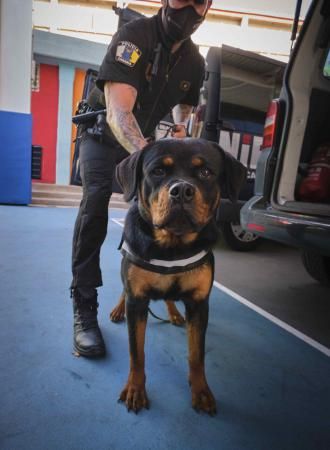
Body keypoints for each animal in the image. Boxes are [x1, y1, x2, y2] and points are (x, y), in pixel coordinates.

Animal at [113, 137, 245, 414]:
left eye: (205, 172)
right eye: (158, 171)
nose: (182, 190)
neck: (173, 246)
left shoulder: (199, 303)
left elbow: (197, 354)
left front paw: (201, 391)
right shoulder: (137, 300)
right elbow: (136, 352)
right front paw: (135, 389)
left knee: (169, 297)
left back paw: (173, 313)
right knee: (122, 290)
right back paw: (118, 309)